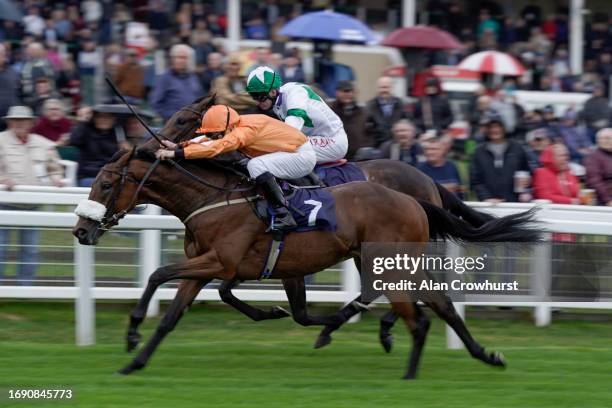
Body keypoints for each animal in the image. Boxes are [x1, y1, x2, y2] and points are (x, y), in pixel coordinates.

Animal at [71, 148, 532, 378]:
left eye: (106, 183)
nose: (80, 230)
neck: (213, 197)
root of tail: (418, 195)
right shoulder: (217, 266)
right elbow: (174, 314)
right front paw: (135, 360)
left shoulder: (219, 261)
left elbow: (158, 273)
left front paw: (132, 331)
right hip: (397, 260)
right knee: (441, 304)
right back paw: (484, 355)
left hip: (386, 260)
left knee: (408, 302)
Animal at [149, 97, 498, 350]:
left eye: (183, 120)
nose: (151, 146)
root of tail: (427, 178)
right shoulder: (253, 253)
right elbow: (225, 290)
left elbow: (227, 288)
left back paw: (375, 327)